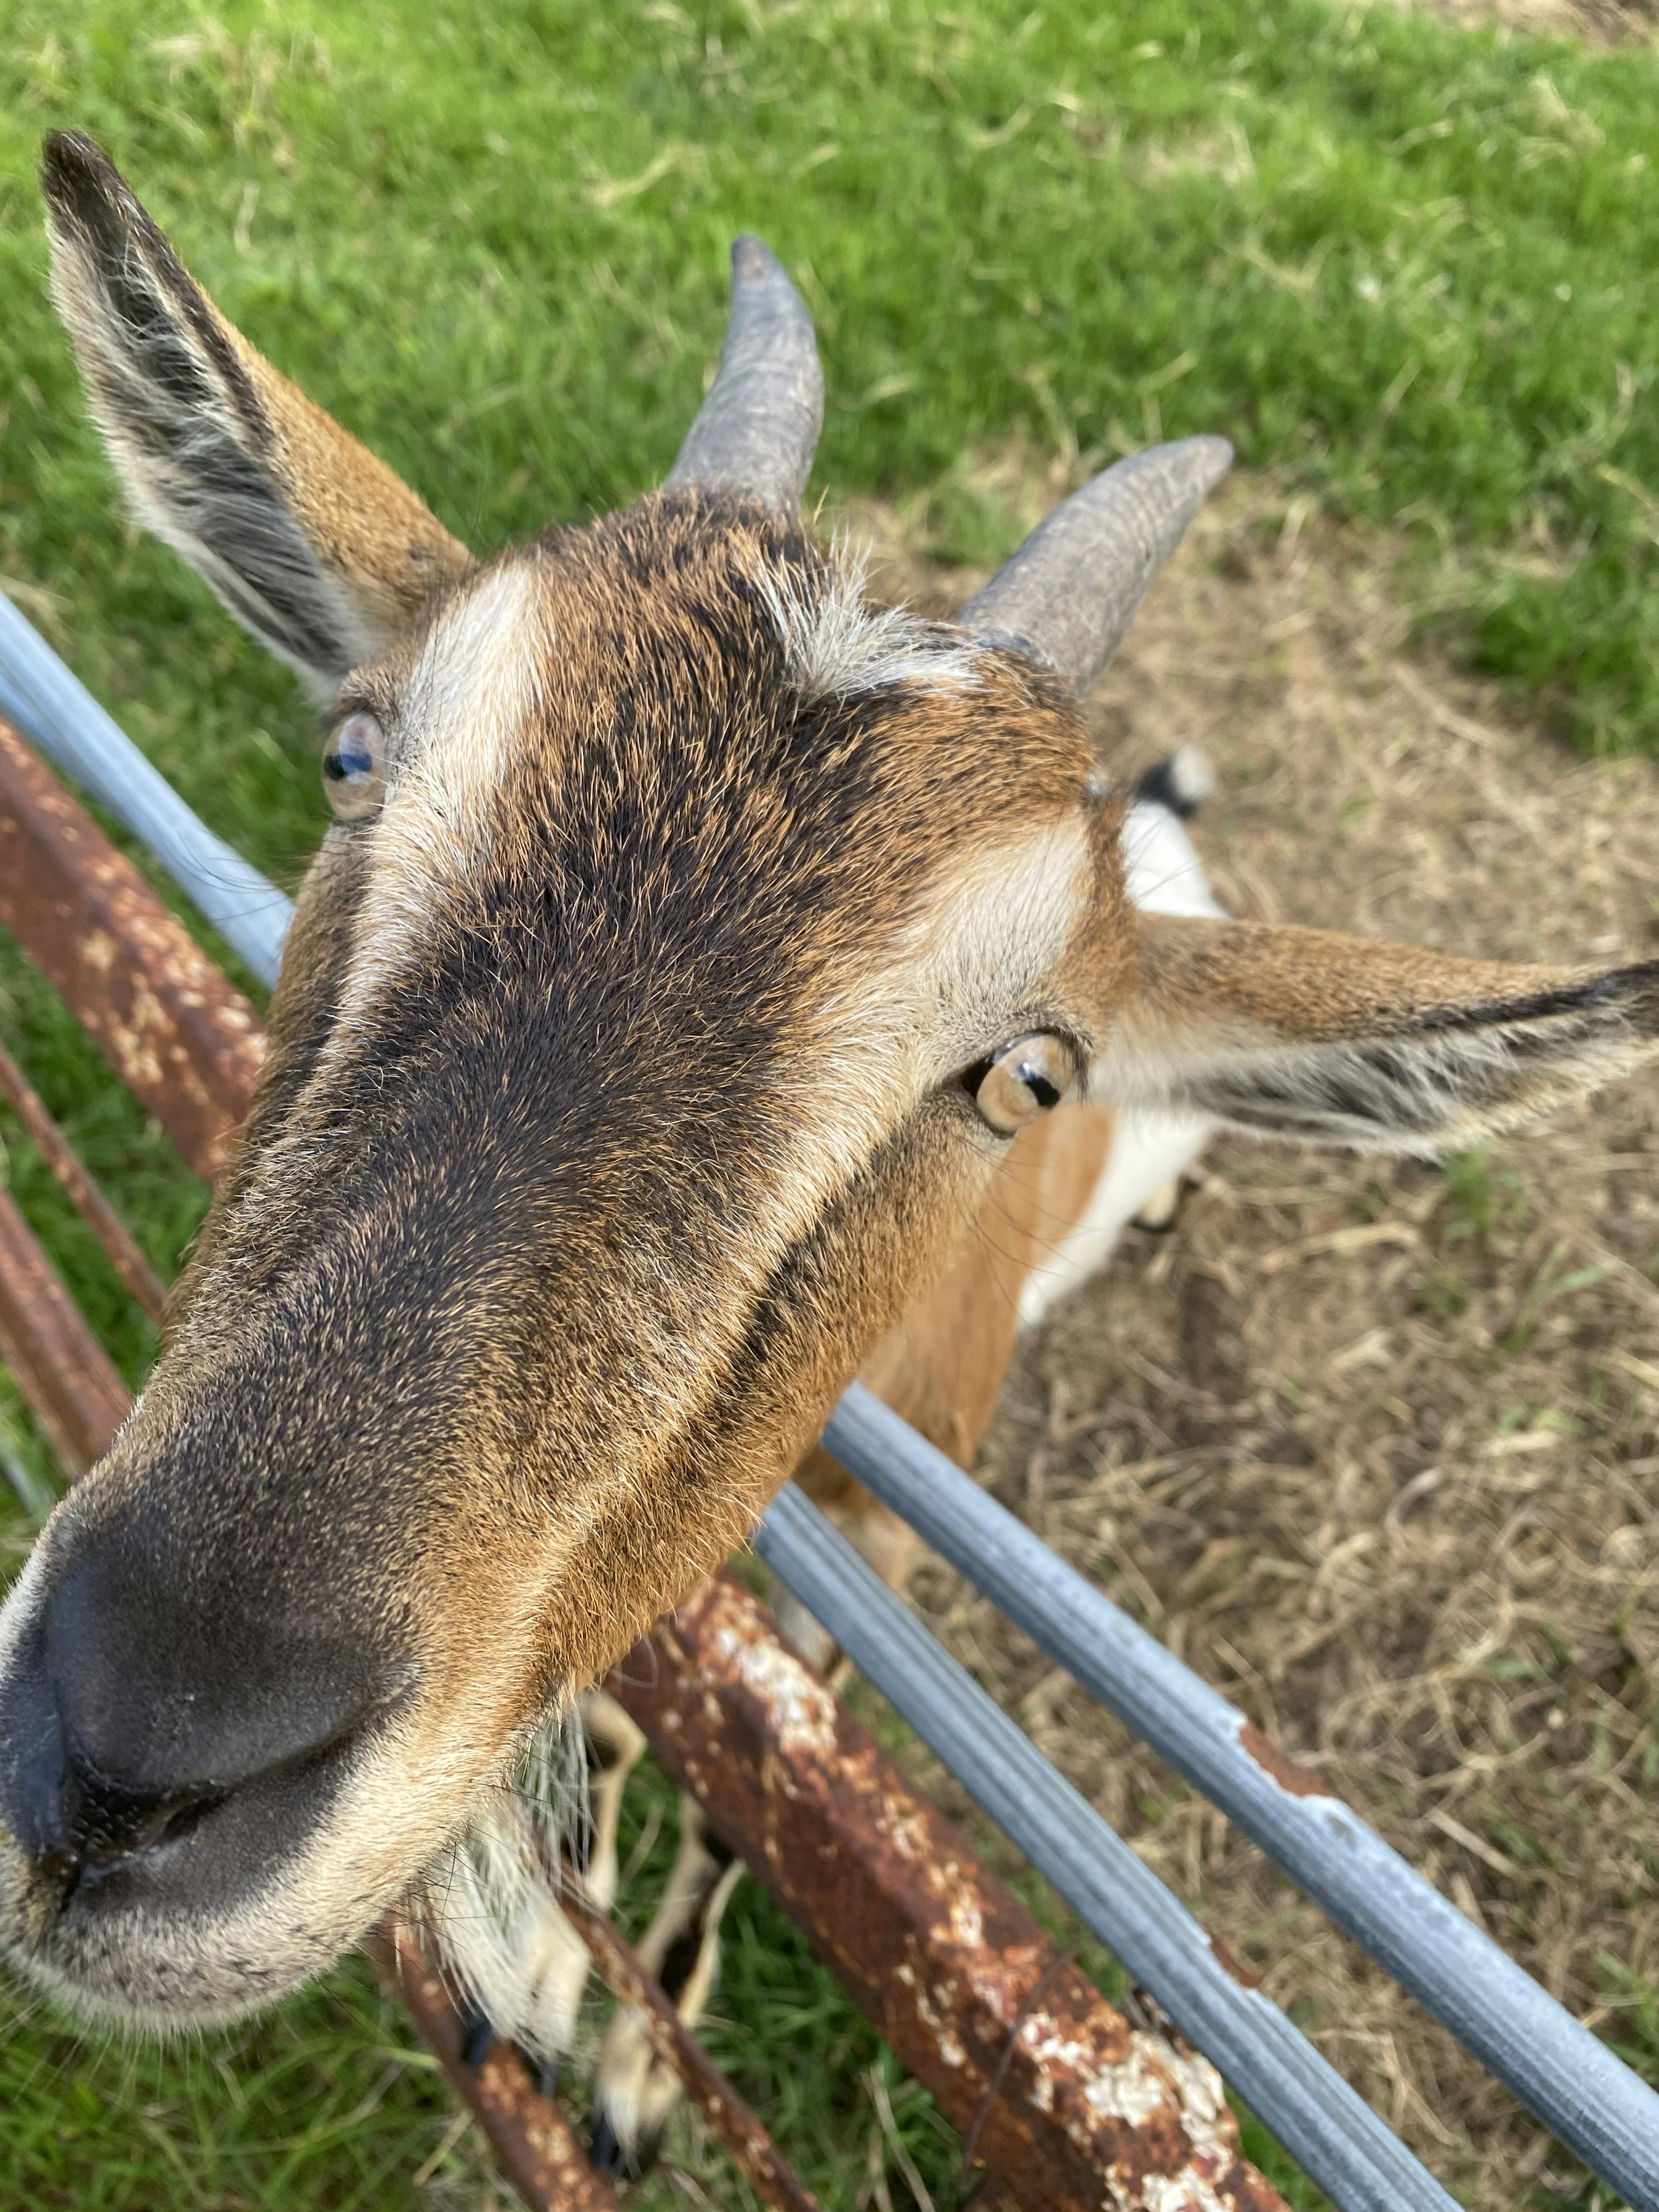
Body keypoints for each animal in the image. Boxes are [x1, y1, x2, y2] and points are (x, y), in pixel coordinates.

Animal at [3, 125, 1659, 2177]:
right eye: (354, 758)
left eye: (1024, 1073)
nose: (126, 1759)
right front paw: (541, 1963)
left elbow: (768, 1780)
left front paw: (636, 2069)